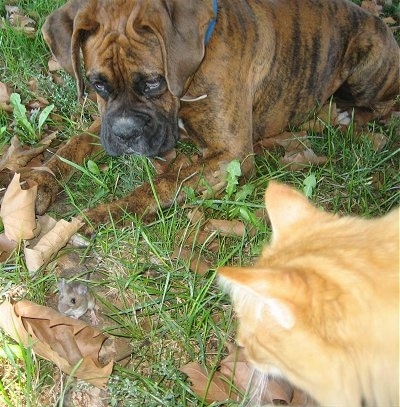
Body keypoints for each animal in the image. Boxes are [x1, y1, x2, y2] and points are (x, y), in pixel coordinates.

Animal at [27, 0, 396, 233]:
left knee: (382, 107)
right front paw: (38, 180)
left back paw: (340, 117)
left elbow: (163, 183)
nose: (126, 134)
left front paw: (105, 213)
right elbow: (74, 144)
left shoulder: (230, 154)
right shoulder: (104, 123)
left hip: (367, 68)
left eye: (154, 82)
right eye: (97, 84)